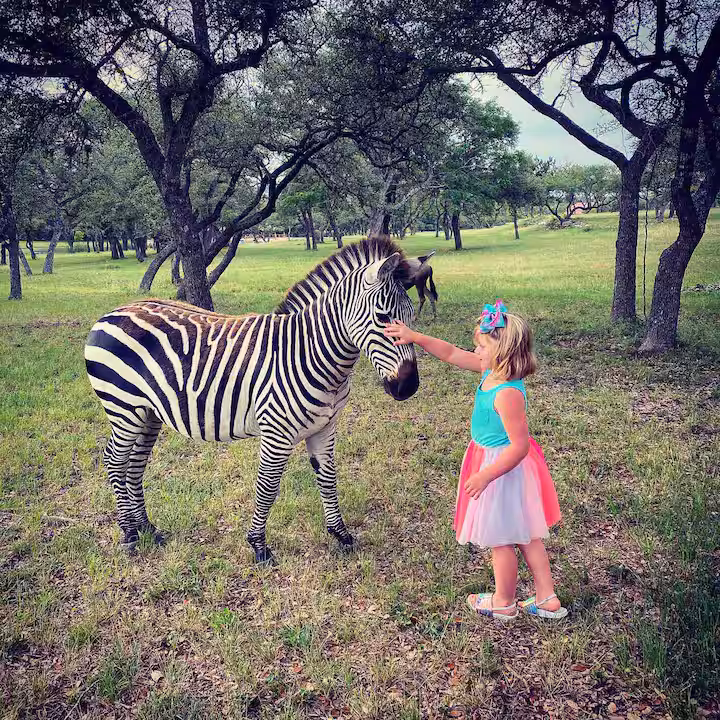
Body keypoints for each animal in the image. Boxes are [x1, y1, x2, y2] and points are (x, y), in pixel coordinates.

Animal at [85, 236, 425, 564]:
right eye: (382, 317)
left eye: (411, 318)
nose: (408, 387)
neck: (310, 352)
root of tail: (113, 313)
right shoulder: (276, 432)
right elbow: (268, 487)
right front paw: (259, 547)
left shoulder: (325, 426)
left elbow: (328, 479)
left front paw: (341, 535)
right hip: (124, 408)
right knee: (115, 460)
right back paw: (129, 534)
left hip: (148, 413)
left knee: (135, 464)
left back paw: (147, 528)